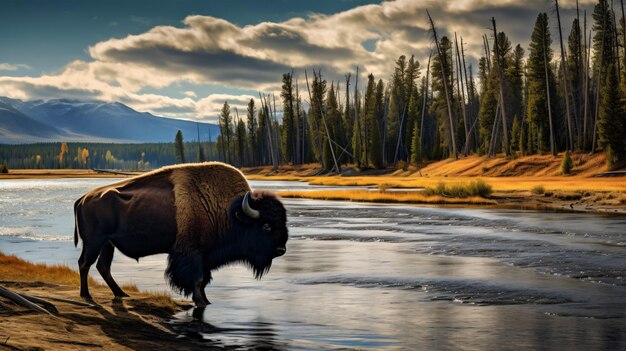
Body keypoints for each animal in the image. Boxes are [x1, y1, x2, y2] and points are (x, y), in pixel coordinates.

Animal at [73, 164, 288, 306]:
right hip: (94, 242)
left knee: (103, 267)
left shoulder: (205, 256)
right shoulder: (191, 252)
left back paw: (121, 293)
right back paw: (87, 295)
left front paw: (205, 299)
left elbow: (204, 279)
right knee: (84, 264)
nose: (281, 249)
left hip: (108, 244)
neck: (230, 213)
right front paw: (201, 301)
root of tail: (83, 198)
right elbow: (197, 278)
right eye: (266, 226)